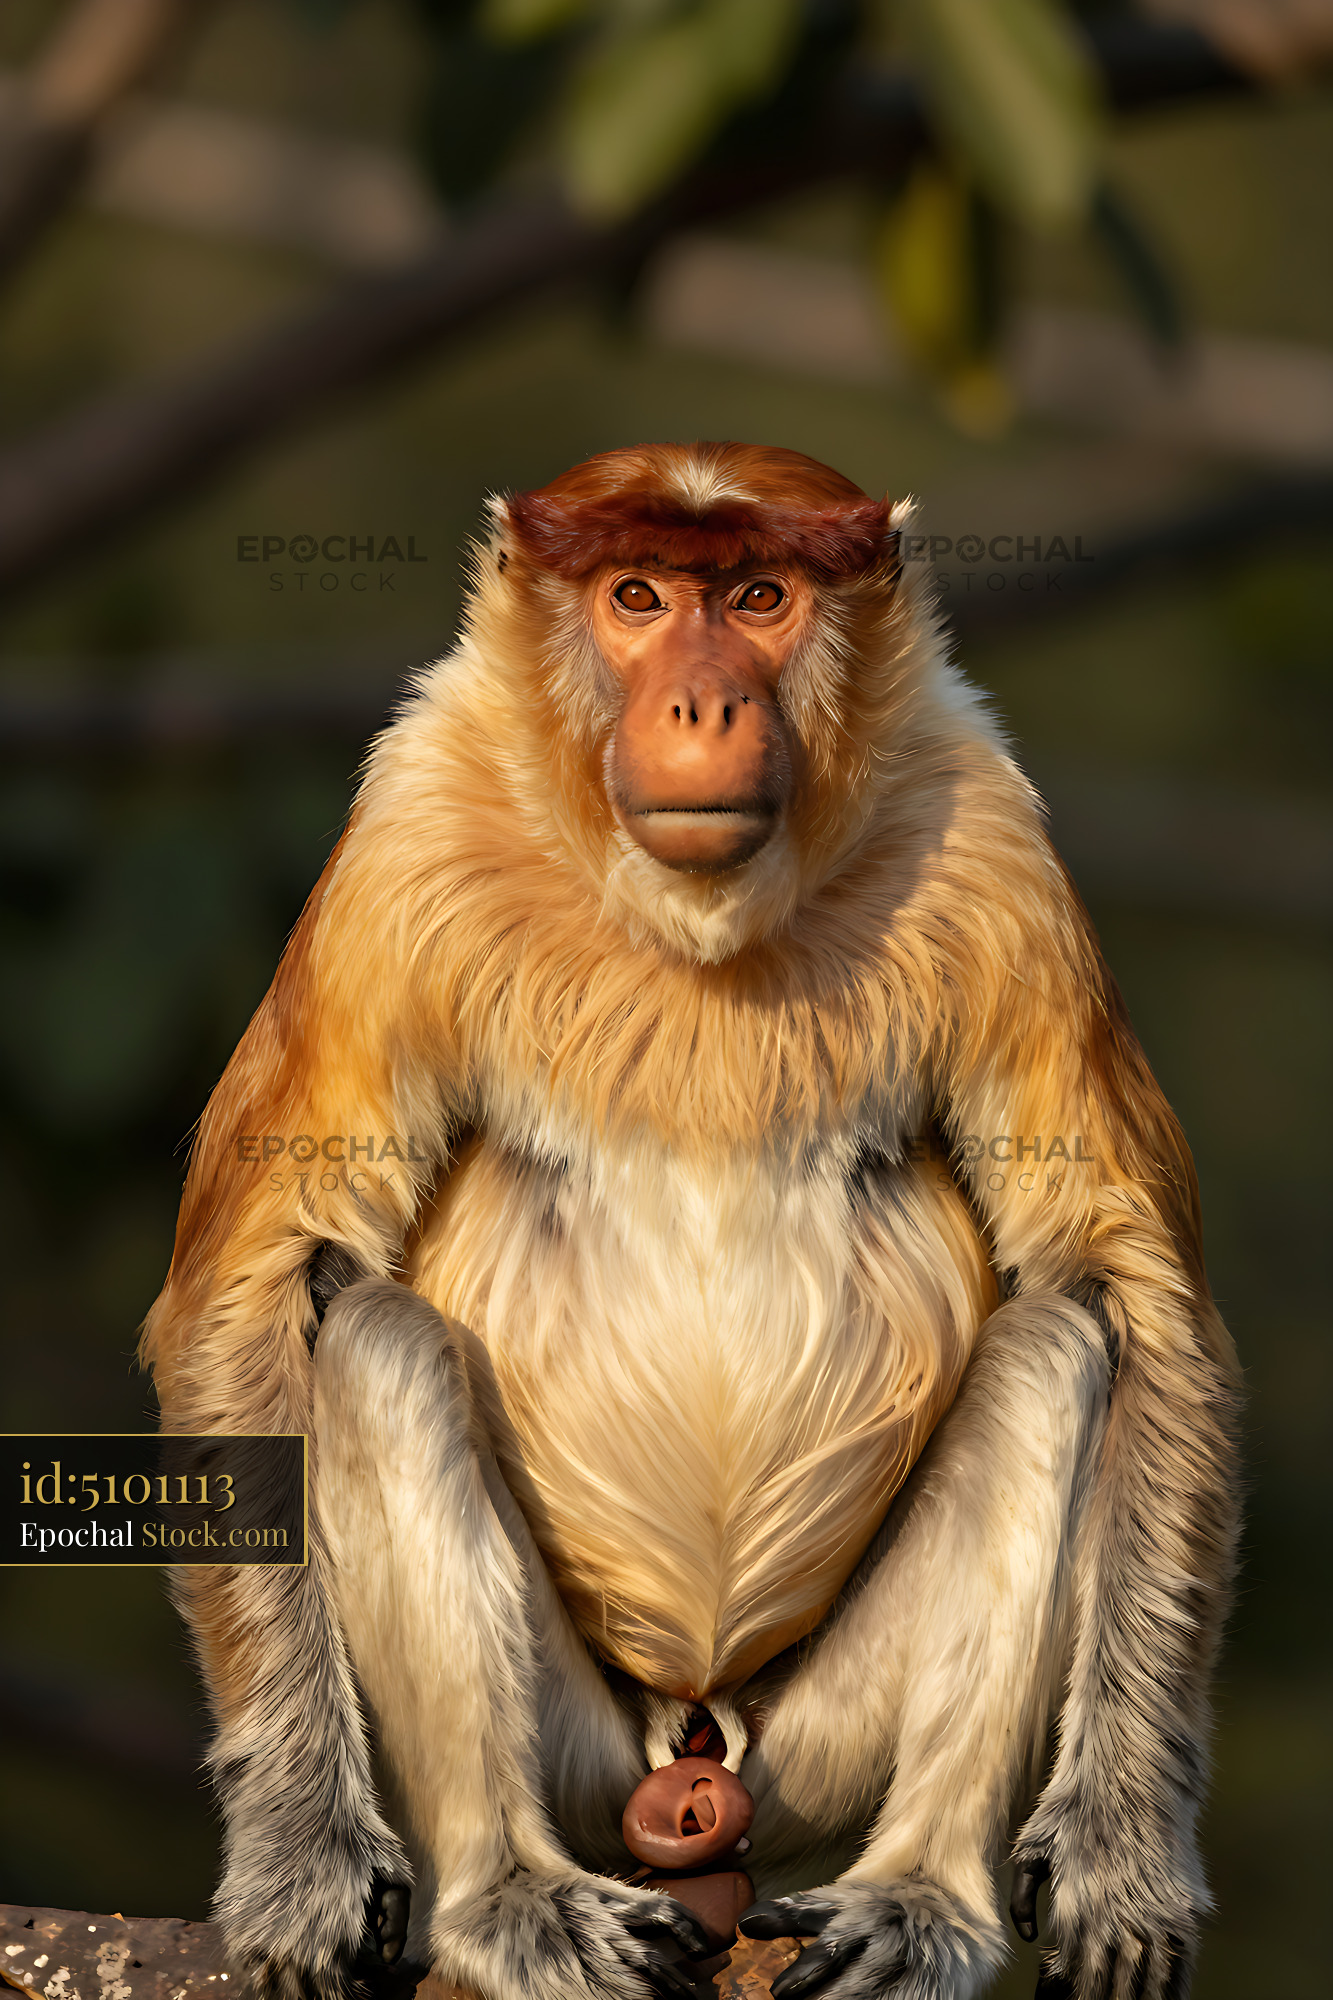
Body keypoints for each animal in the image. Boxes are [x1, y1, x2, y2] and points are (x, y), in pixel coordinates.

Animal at [143, 442, 1239, 2000]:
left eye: (762, 597)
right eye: (638, 596)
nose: (701, 705)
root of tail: (696, 1749)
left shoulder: (992, 842)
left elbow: (1129, 1282)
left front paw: (1120, 1858)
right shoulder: (404, 832)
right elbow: (257, 1278)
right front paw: (305, 1865)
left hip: (808, 1751)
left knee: (1052, 1353)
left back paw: (917, 1902)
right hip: (590, 1756)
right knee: (374, 1344)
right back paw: (517, 1904)